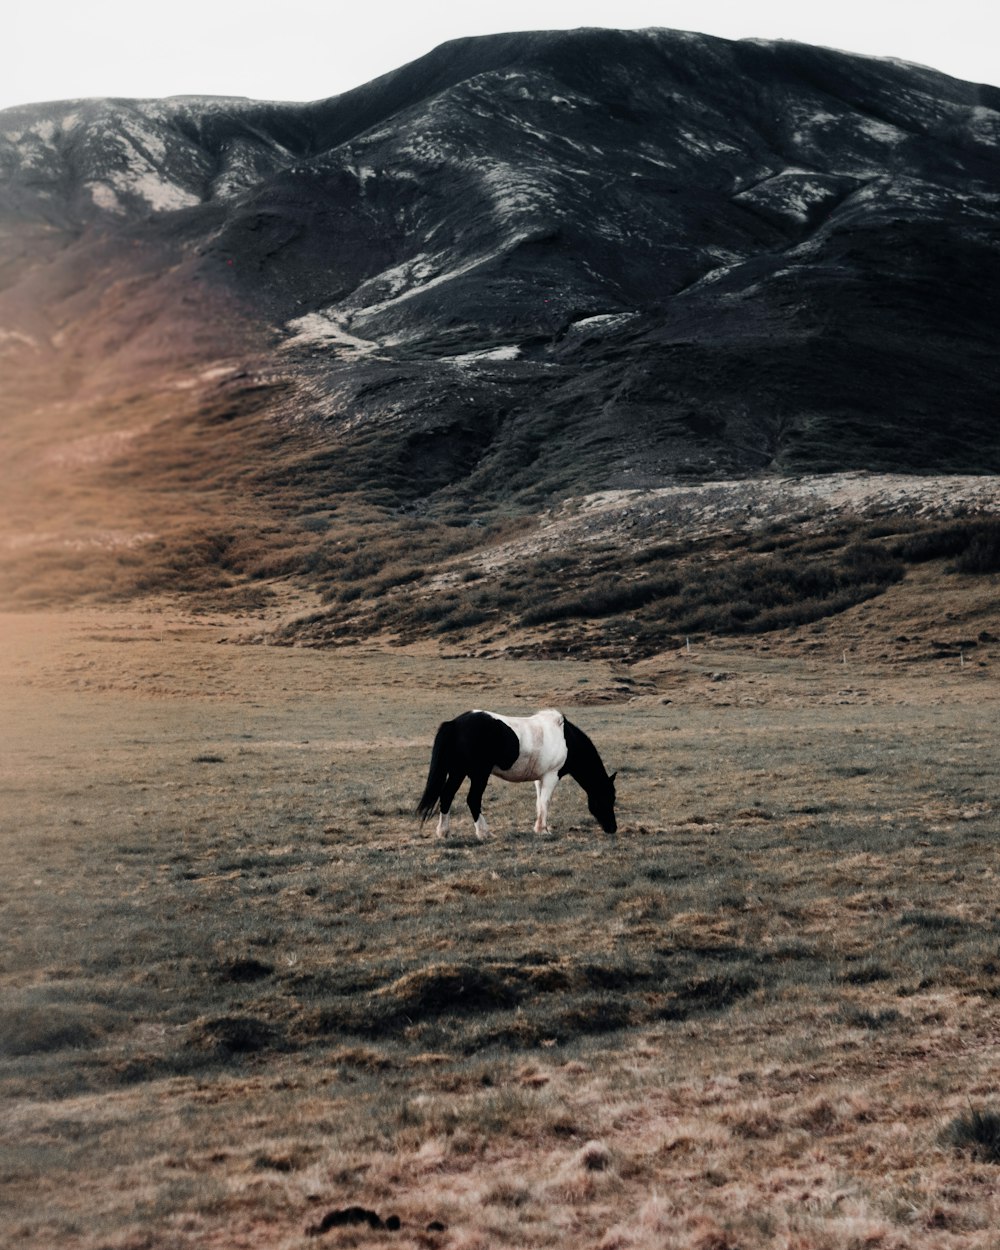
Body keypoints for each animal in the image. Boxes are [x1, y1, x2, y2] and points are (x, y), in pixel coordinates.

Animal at [415, 715, 617, 840]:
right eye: (608, 797)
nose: (613, 828)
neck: (565, 738)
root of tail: (455, 724)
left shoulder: (539, 779)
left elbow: (539, 803)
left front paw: (538, 828)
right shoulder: (551, 776)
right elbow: (545, 802)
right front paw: (544, 831)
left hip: (458, 772)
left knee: (446, 796)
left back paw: (444, 832)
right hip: (479, 775)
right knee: (472, 799)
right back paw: (484, 833)